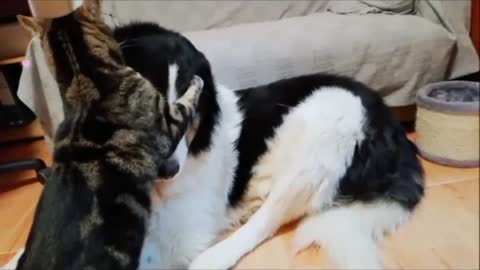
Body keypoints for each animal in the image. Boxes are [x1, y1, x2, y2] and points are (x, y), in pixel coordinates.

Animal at [124, 22, 424, 268]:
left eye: (189, 107)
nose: (167, 169)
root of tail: (391, 122)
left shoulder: (184, 230)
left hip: (322, 136)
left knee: (264, 223)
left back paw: (212, 258)